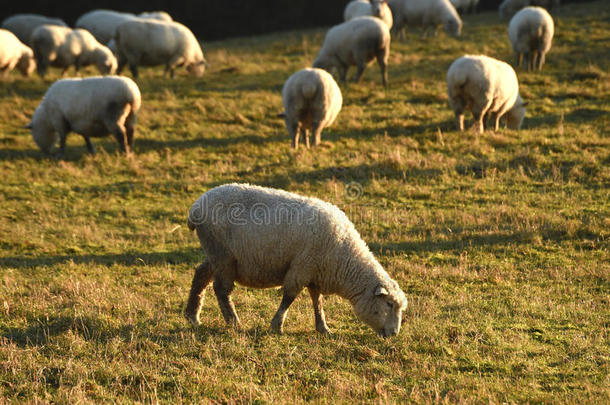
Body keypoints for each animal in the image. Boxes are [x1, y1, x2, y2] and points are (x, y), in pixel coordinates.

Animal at [183, 183, 406, 334]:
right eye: (389, 304)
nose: (394, 334)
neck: (344, 257)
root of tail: (195, 207)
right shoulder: (302, 267)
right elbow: (289, 297)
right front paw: (277, 325)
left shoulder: (315, 272)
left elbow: (317, 301)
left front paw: (323, 327)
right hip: (223, 255)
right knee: (221, 289)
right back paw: (234, 322)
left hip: (216, 254)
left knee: (201, 275)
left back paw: (192, 316)